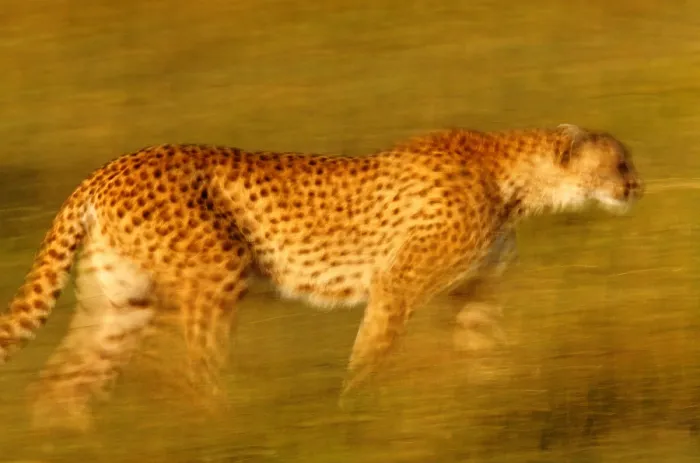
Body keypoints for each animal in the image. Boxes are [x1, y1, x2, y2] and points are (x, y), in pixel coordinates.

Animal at [0, 123, 643, 432]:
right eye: (619, 163)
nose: (637, 186)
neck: (513, 177)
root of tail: (106, 169)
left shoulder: (475, 292)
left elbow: (489, 360)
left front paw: (498, 408)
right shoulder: (397, 285)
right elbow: (370, 354)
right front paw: (351, 415)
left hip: (120, 304)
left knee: (57, 390)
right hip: (214, 278)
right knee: (189, 381)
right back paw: (227, 435)